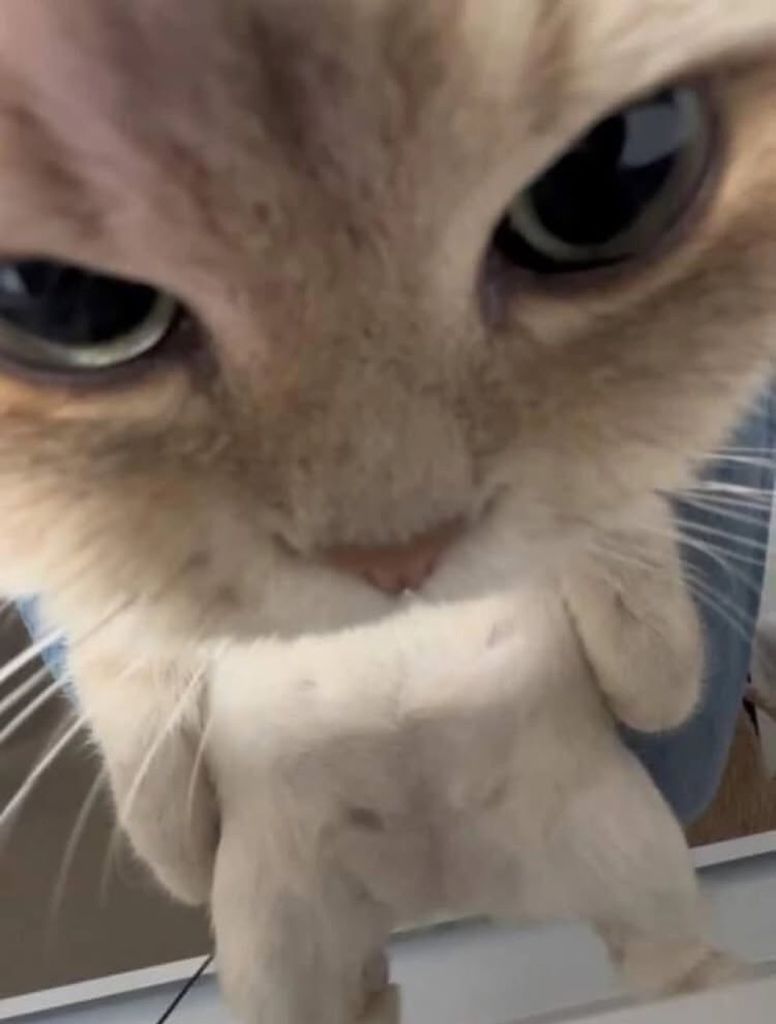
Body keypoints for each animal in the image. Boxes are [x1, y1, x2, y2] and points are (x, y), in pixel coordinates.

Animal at [2, 1, 776, 1021]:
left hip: (620, 853)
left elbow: (638, 607)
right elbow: (142, 736)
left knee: (672, 966)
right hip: (280, 948)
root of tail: (442, 895)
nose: (400, 556)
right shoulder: (170, 783)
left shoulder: (649, 666)